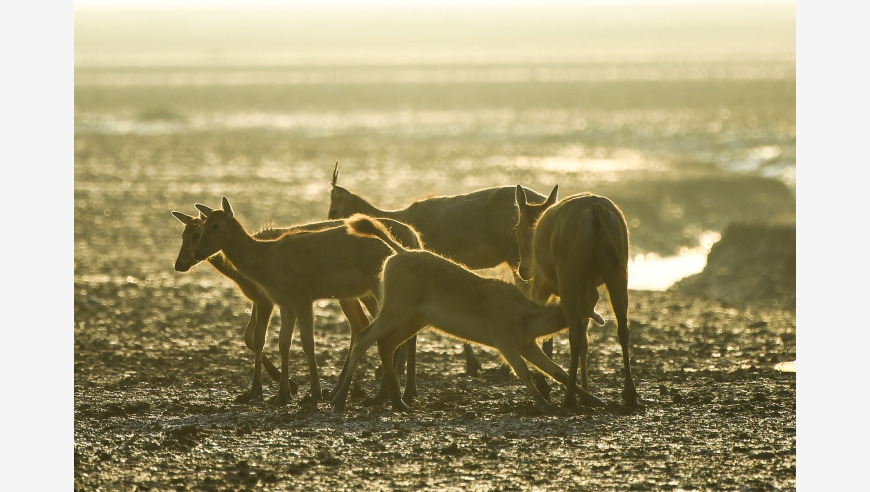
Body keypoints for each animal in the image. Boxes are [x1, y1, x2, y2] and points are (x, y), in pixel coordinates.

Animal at [188, 197, 426, 408]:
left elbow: (307, 342)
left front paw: (313, 395)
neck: (266, 261)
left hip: (377, 286)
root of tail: (400, 246)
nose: (197, 252)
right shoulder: (285, 301)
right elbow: (284, 341)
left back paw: (383, 395)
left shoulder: (301, 295)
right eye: (202, 225)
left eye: (215, 226)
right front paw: (281, 396)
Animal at [330, 217, 608, 414]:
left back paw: (399, 404)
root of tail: (398, 254)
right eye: (589, 296)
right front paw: (542, 404)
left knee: (386, 343)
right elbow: (521, 370)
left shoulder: (527, 344)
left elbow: (556, 370)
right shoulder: (503, 339)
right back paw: (338, 402)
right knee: (364, 337)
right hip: (396, 308)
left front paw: (597, 401)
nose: (595, 320)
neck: (525, 316)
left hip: (415, 319)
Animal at [516, 184, 640, 408]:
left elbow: (545, 336)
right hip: (618, 271)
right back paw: (629, 394)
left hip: (568, 275)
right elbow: (586, 341)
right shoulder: (587, 294)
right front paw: (587, 390)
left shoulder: (541, 286)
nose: (523, 270)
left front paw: (544, 386)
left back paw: (570, 397)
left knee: (574, 331)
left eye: (517, 227)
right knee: (622, 328)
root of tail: (598, 210)